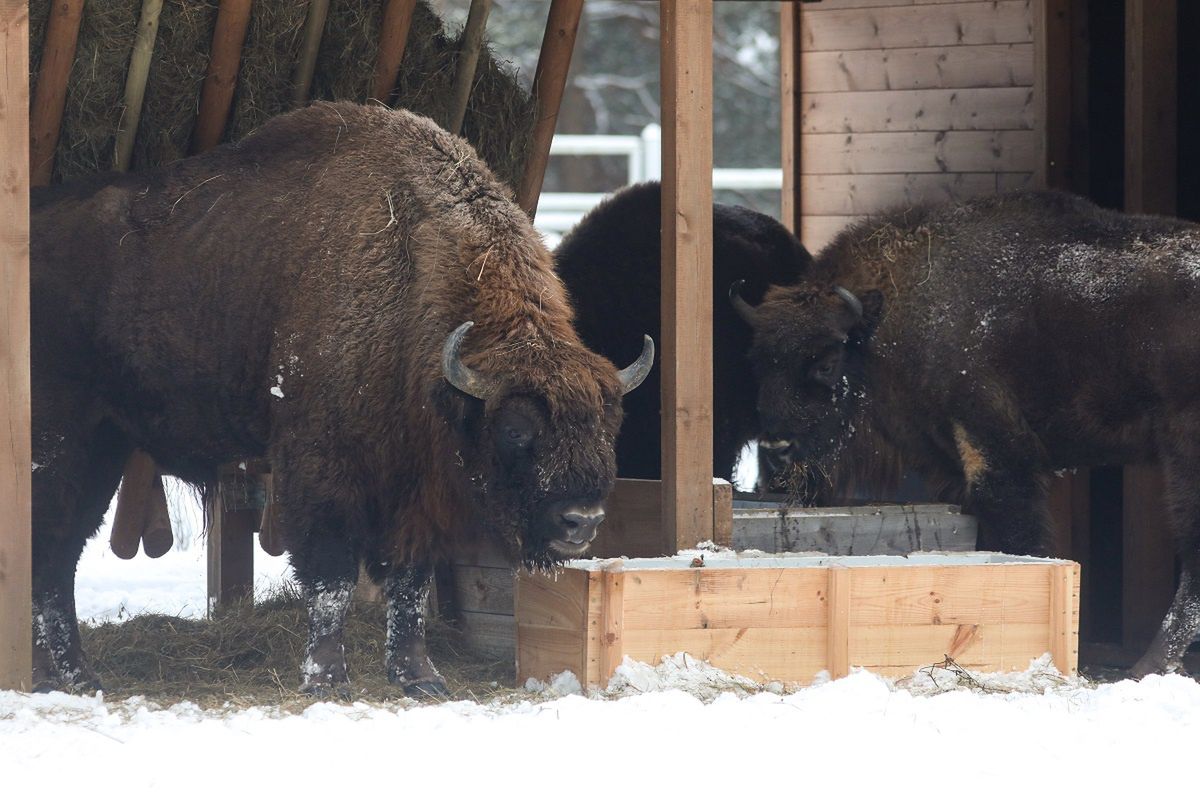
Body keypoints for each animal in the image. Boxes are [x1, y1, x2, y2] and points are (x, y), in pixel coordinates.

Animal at [35, 103, 657, 695]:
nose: (580, 520)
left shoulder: (417, 492)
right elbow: (331, 578)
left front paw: (420, 678)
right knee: (52, 549)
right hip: (63, 440)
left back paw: (67, 677)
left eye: (609, 426)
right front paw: (327, 680)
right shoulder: (323, 469)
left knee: (60, 551)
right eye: (516, 430)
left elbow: (409, 585)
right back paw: (73, 678)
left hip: (105, 444)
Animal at [729, 190, 1200, 681]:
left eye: (824, 362)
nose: (777, 449)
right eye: (758, 361)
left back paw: (1146, 666)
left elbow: (1014, 529)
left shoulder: (992, 443)